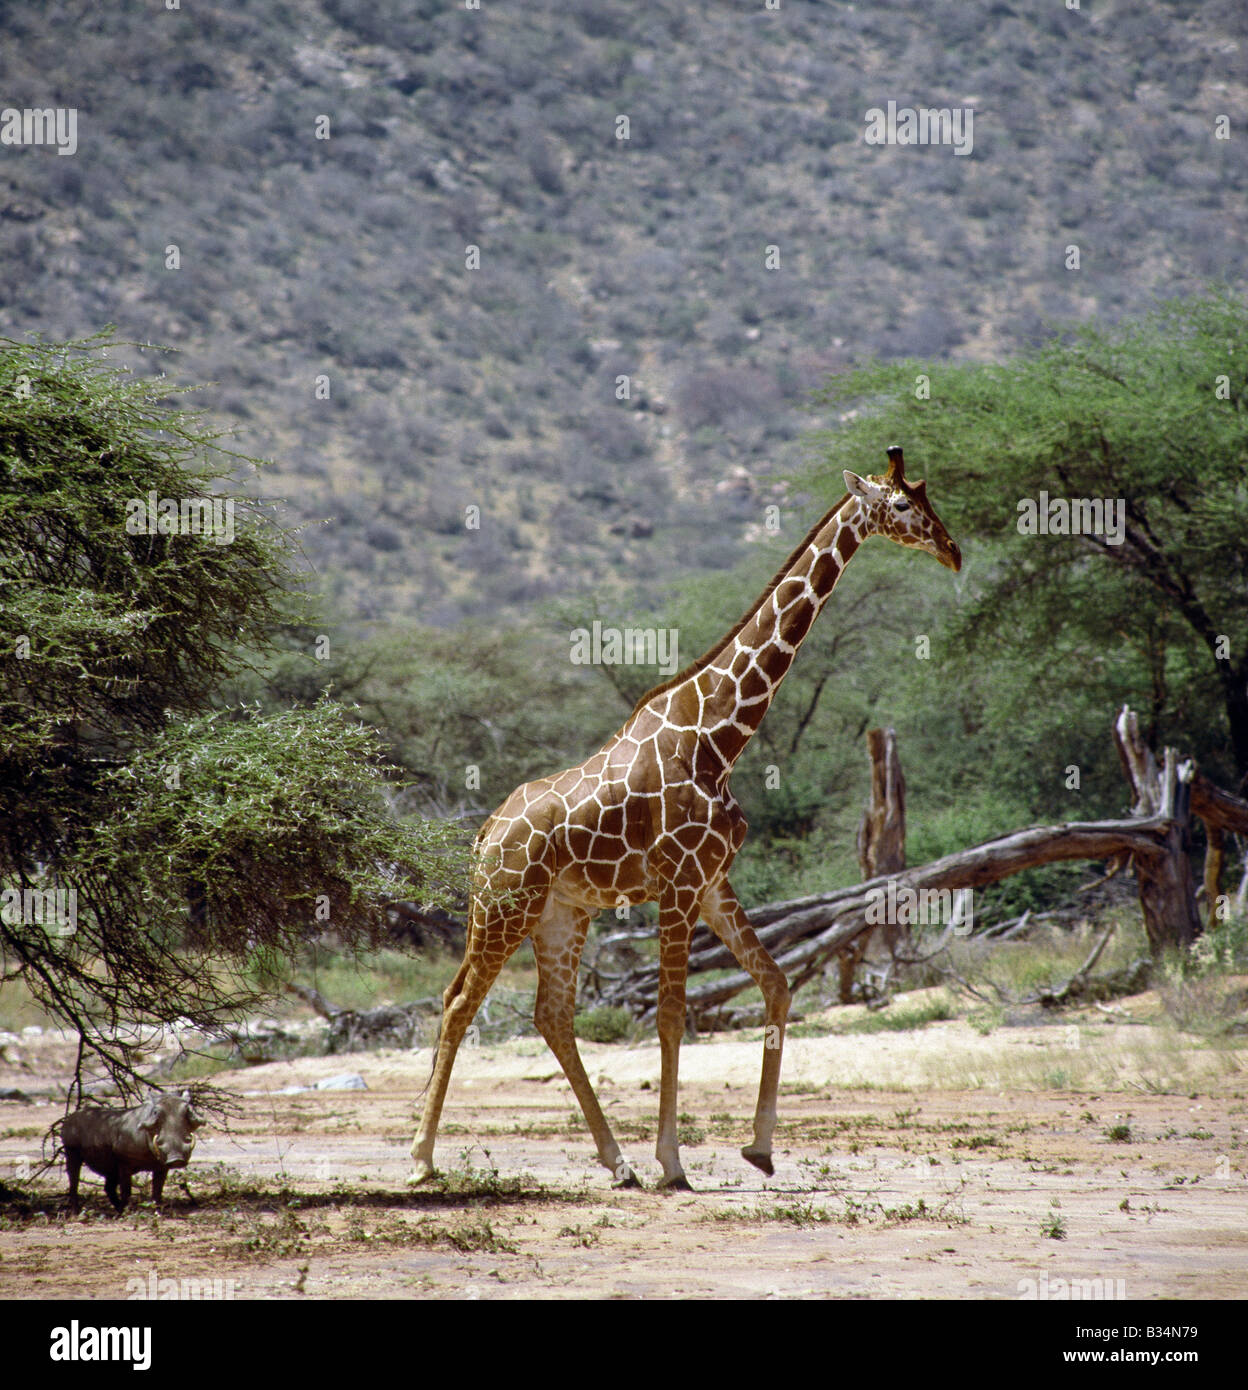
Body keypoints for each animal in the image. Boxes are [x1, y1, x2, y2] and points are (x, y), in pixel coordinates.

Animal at [414, 450, 956, 1189]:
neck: (717, 738)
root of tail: (483, 834)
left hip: (562, 912)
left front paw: (759, 1147)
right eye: (902, 505)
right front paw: (672, 1161)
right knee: (458, 1003)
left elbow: (776, 983)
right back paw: (421, 1160)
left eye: (926, 498)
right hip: (504, 903)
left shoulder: (711, 881)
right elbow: (672, 1016)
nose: (953, 550)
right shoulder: (676, 883)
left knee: (551, 1014)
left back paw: (616, 1163)